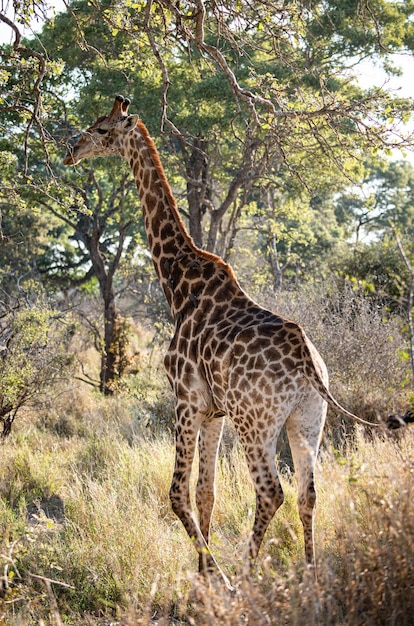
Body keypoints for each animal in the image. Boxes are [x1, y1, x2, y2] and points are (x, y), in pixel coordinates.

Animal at [63, 95, 376, 584]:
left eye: (99, 128)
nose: (71, 152)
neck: (176, 282)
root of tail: (308, 363)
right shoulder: (214, 412)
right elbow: (206, 492)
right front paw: (202, 573)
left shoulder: (186, 399)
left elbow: (177, 493)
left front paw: (213, 575)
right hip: (308, 418)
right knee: (308, 492)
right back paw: (309, 574)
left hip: (256, 421)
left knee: (271, 491)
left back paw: (244, 577)